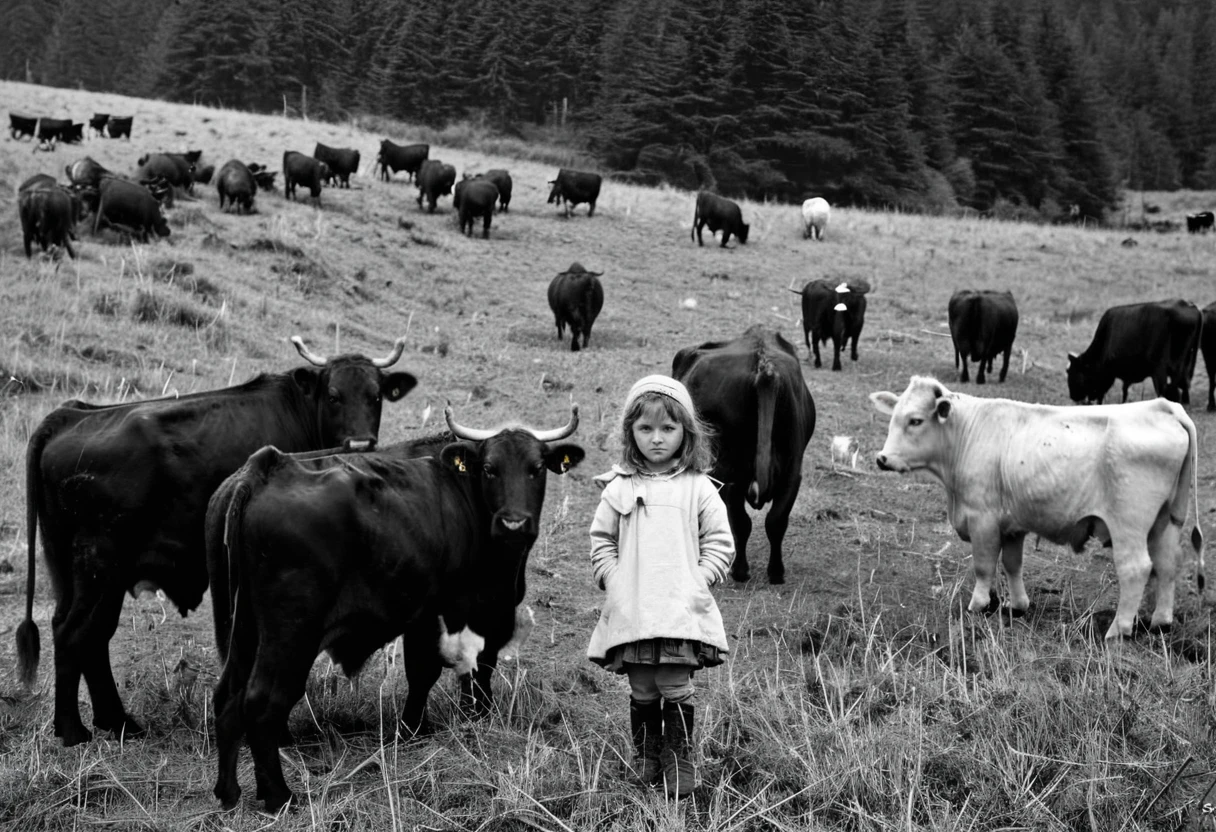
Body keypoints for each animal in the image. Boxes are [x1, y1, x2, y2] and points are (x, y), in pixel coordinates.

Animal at [16, 338, 418, 749]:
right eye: (334, 395)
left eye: (376, 396)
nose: (360, 443)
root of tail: (70, 415)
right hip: (100, 565)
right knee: (75, 633)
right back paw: (73, 731)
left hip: (74, 570)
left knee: (88, 635)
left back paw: (117, 722)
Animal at [210, 406, 583, 807]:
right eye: (489, 468)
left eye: (536, 468)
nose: (514, 523)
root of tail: (264, 467)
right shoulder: (460, 611)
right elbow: (444, 669)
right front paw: (421, 727)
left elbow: (458, 671)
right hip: (290, 635)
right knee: (262, 702)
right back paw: (279, 796)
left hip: (243, 632)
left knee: (228, 700)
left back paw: (229, 791)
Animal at [676, 321, 817, 581]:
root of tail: (764, 367)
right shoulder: (793, 472)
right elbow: (774, 520)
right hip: (787, 470)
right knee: (770, 521)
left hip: (732, 470)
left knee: (742, 521)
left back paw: (740, 569)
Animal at [870, 374, 1201, 637]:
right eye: (894, 417)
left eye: (915, 420)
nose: (882, 459)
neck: (965, 433)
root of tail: (1161, 406)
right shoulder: (1012, 525)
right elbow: (1012, 563)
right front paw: (1017, 605)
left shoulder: (982, 519)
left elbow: (984, 564)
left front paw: (978, 605)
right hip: (1165, 521)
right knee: (1167, 564)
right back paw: (1161, 622)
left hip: (1128, 525)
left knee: (1136, 568)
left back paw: (1117, 631)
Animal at [1070, 299, 1201, 406]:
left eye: (1074, 372)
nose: (1072, 396)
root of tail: (1189, 305)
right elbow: (1124, 390)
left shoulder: (1110, 373)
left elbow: (1108, 393)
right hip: (1185, 362)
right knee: (1182, 385)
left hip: (1163, 368)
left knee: (1167, 388)